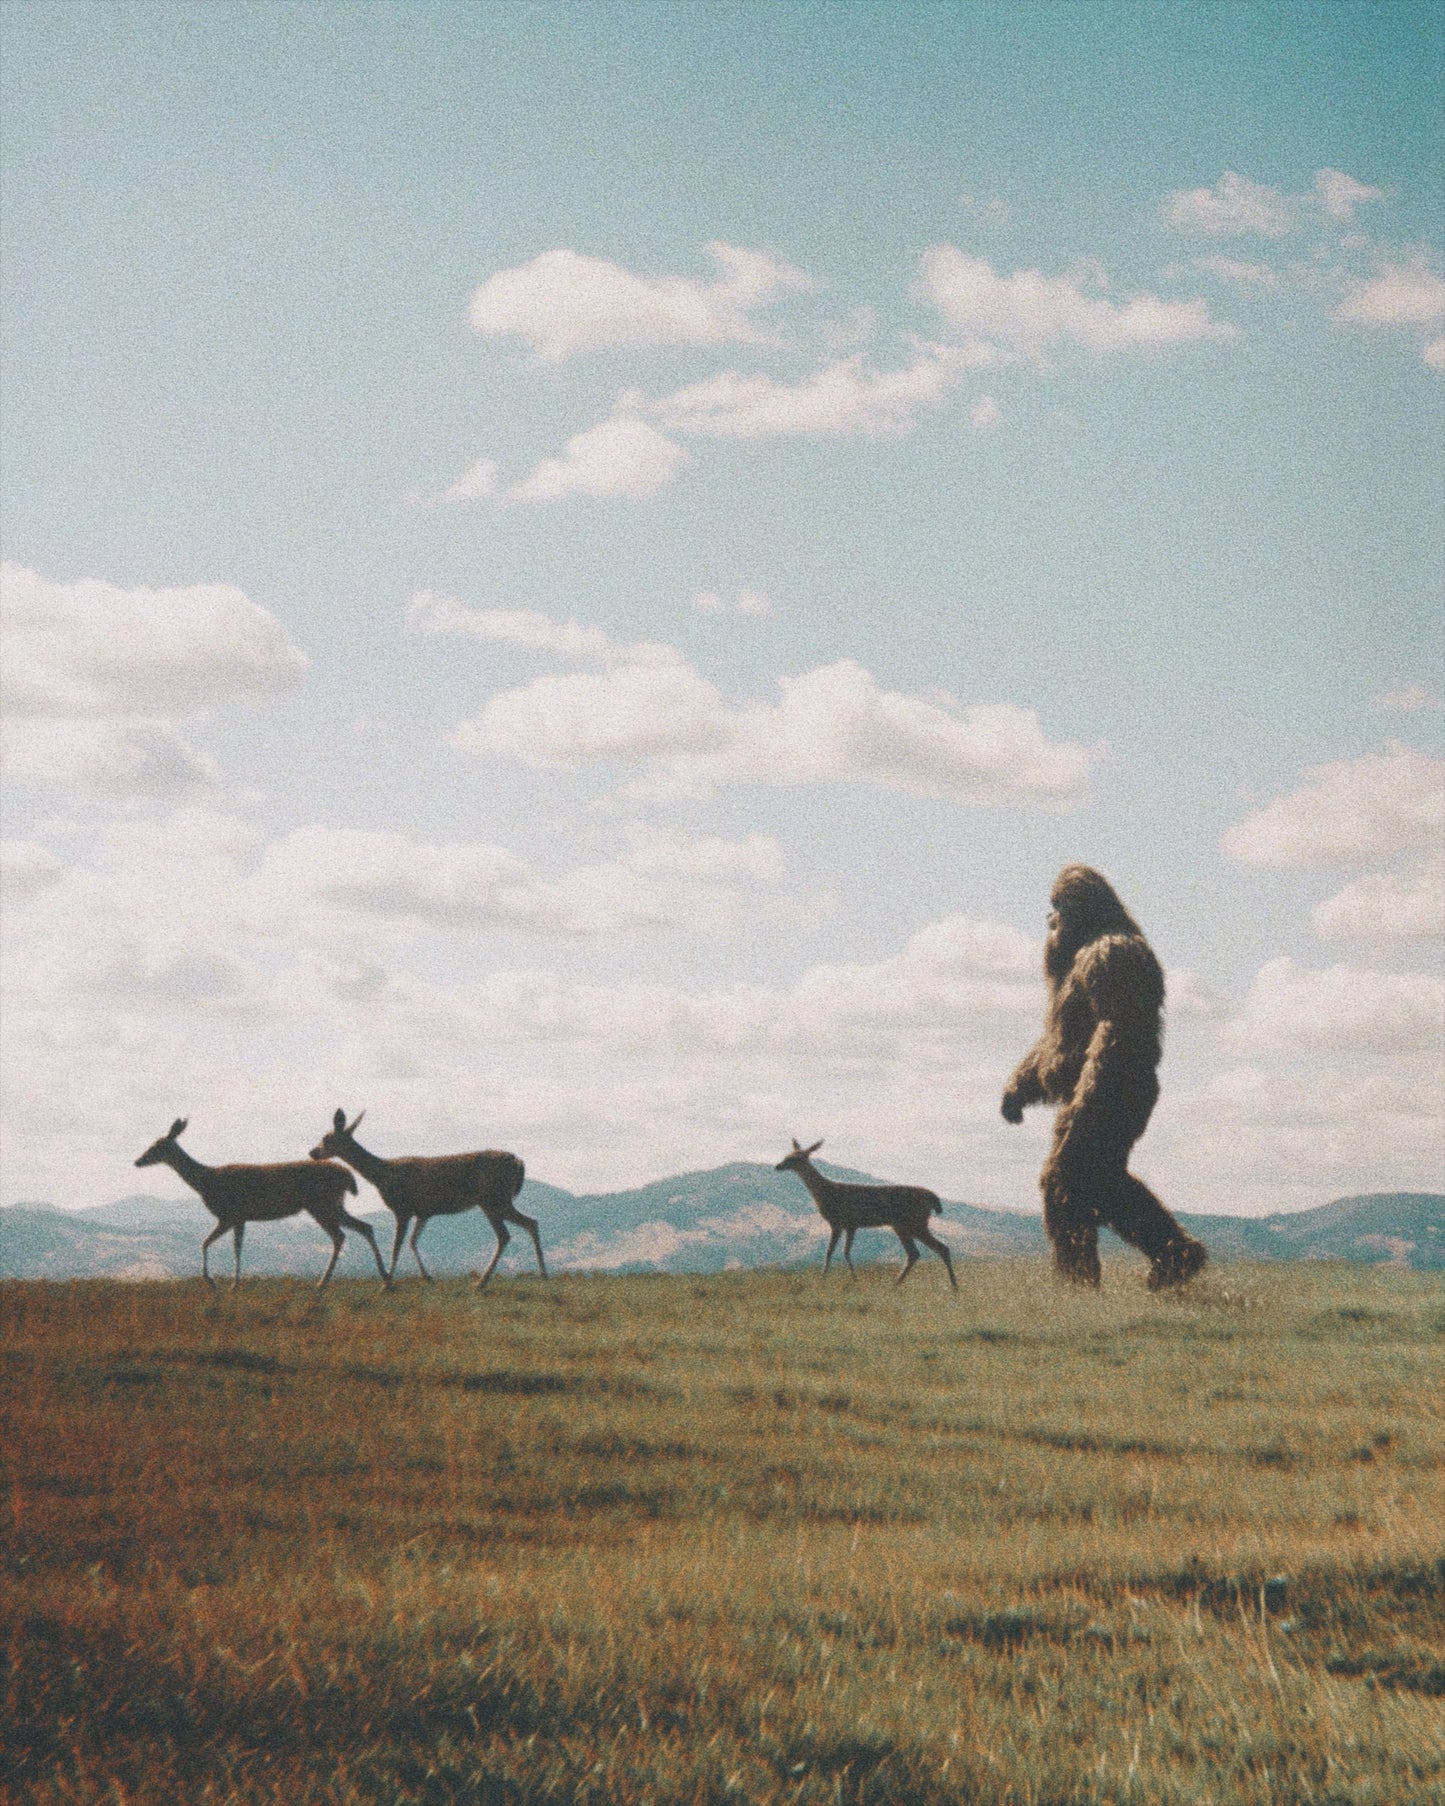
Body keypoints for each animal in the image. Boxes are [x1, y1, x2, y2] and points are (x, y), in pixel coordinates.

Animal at [134, 1118, 390, 1289]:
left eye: (157, 1146)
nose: (138, 1161)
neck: (207, 1181)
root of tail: (348, 1177)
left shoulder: (229, 1215)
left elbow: (207, 1243)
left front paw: (215, 1282)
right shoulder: (240, 1218)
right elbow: (236, 1246)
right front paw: (233, 1283)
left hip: (322, 1204)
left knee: (341, 1235)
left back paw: (324, 1282)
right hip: (332, 1205)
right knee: (363, 1227)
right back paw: (382, 1276)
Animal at [308, 1109, 544, 1287]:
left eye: (327, 1138)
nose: (312, 1152)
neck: (382, 1175)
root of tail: (518, 1162)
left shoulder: (402, 1208)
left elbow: (397, 1246)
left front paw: (387, 1284)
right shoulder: (423, 1212)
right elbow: (413, 1241)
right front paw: (427, 1277)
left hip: (492, 1199)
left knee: (505, 1235)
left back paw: (482, 1282)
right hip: (500, 1201)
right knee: (531, 1222)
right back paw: (543, 1273)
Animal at [775, 1138, 958, 1290]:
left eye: (796, 1158)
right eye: (787, 1155)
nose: (778, 1166)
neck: (826, 1192)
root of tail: (932, 1197)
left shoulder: (837, 1222)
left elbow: (830, 1252)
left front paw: (824, 1280)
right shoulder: (851, 1225)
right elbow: (846, 1252)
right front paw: (853, 1279)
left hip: (914, 1222)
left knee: (937, 1248)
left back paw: (951, 1286)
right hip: (903, 1225)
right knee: (916, 1253)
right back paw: (899, 1284)